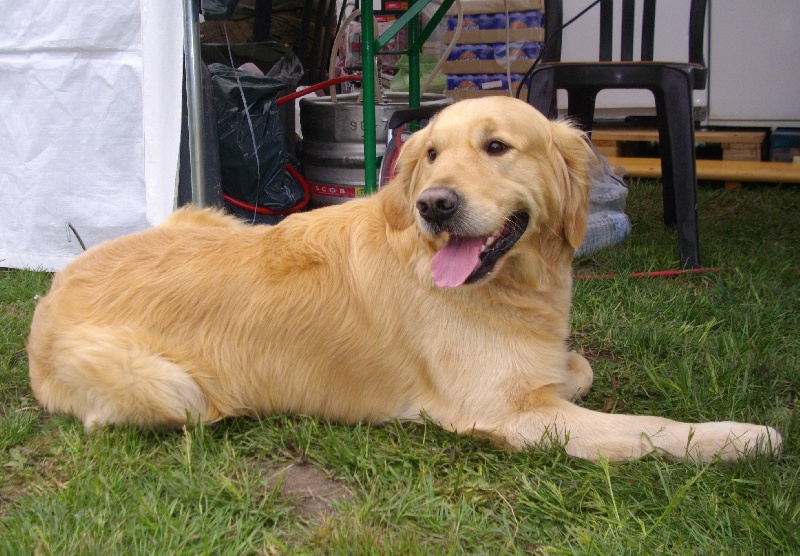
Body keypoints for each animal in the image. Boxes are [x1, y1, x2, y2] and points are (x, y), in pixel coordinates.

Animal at [27, 96, 781, 462]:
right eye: (433, 154)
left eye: (497, 146)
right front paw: (741, 438)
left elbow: (579, 366)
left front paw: (564, 368)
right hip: (172, 388)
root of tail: (51, 290)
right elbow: (648, 428)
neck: (511, 284)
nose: (434, 204)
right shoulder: (504, 413)